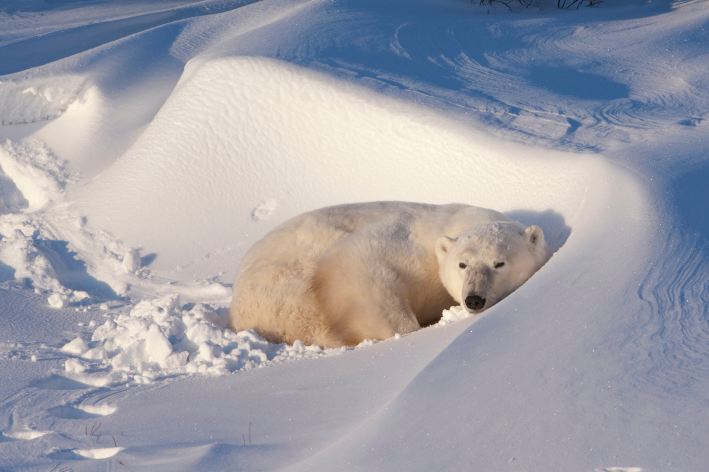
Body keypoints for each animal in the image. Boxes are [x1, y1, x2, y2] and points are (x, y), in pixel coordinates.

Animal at [229, 202, 551, 348]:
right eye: (463, 265)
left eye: (499, 263)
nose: (474, 299)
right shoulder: (404, 242)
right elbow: (362, 266)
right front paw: (409, 332)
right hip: (286, 284)